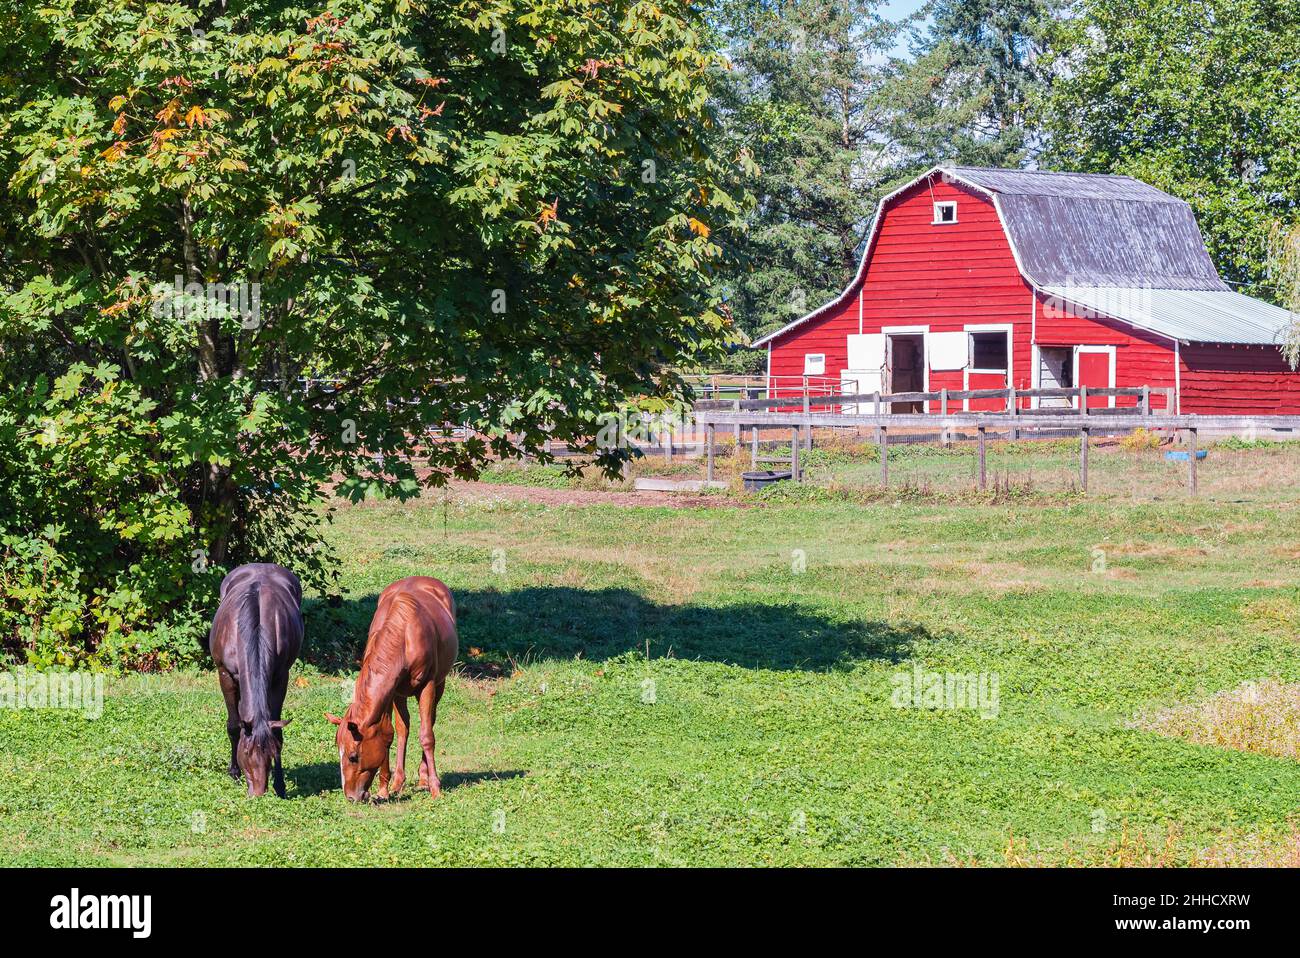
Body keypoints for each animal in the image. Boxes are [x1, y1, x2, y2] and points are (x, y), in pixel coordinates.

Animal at [204, 564, 302, 795]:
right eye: (247, 753)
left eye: (271, 753)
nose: (258, 793)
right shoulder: (225, 675)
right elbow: (234, 726)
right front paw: (234, 772)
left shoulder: (280, 677)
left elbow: (277, 732)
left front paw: (280, 784)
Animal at [327, 574, 460, 800]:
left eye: (353, 756)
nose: (351, 796)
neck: (404, 633)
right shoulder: (390, 693)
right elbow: (389, 735)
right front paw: (385, 789)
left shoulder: (427, 686)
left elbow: (426, 736)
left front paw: (435, 787)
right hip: (401, 694)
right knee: (404, 729)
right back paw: (399, 782)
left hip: (439, 685)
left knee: (430, 722)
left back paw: (424, 778)